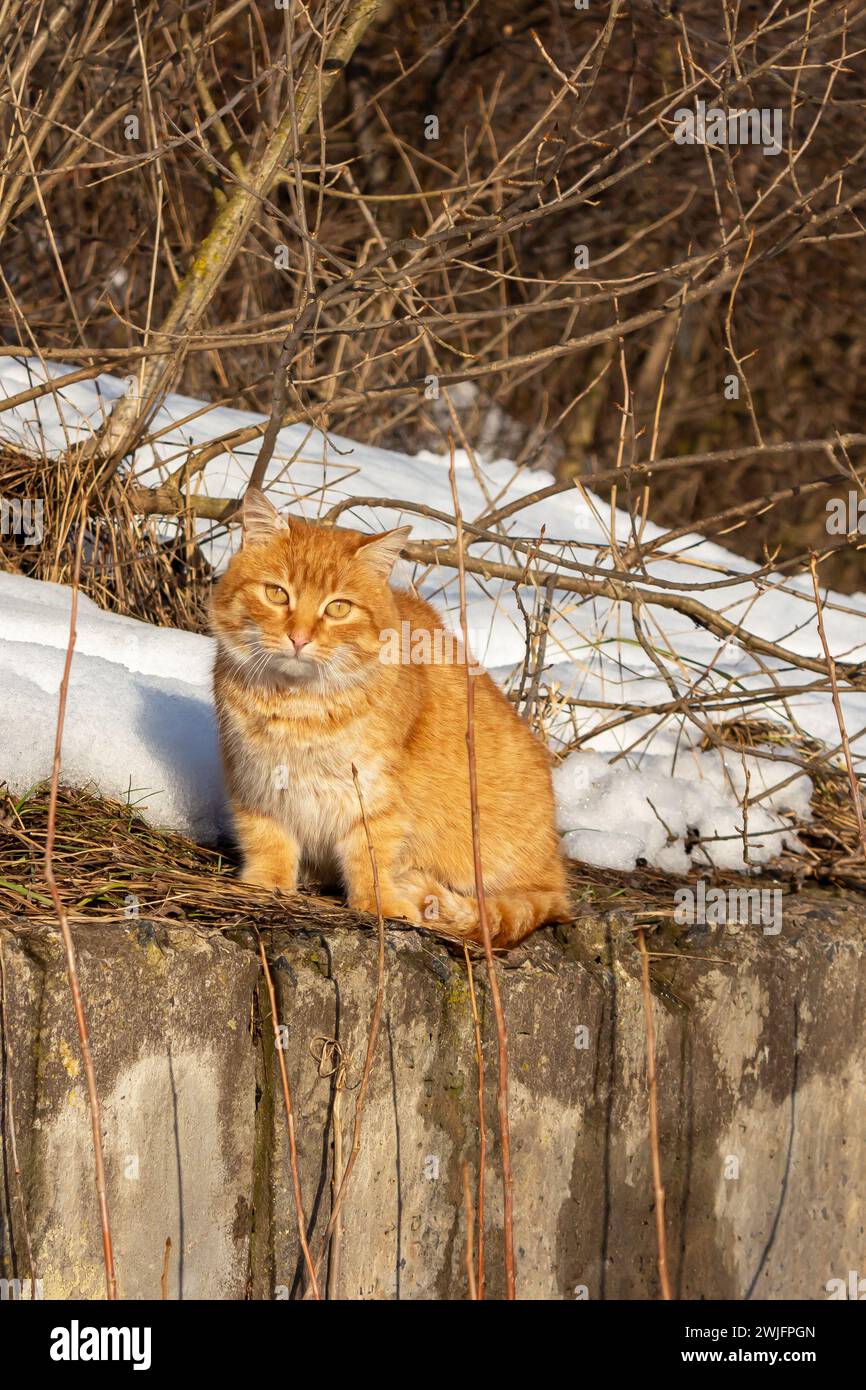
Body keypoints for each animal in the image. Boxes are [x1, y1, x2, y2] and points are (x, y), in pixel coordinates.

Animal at [211, 486, 572, 945]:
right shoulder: (254, 783)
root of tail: (556, 877)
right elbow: (267, 841)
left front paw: (378, 904)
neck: (297, 706)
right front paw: (265, 885)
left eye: (338, 608)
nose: (299, 638)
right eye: (277, 594)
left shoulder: (376, 798)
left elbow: (371, 857)